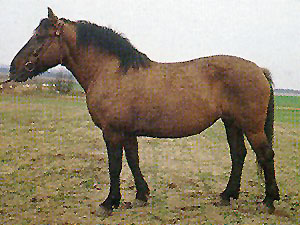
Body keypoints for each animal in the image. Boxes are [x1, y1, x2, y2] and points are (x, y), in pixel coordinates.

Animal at [9, 8, 282, 216]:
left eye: (40, 37)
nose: (13, 69)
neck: (111, 71)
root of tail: (259, 70)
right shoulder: (127, 133)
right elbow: (133, 161)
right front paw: (141, 196)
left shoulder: (112, 132)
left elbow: (115, 166)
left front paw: (109, 203)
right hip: (231, 123)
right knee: (238, 155)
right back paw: (227, 196)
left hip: (251, 127)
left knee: (265, 155)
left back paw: (269, 201)